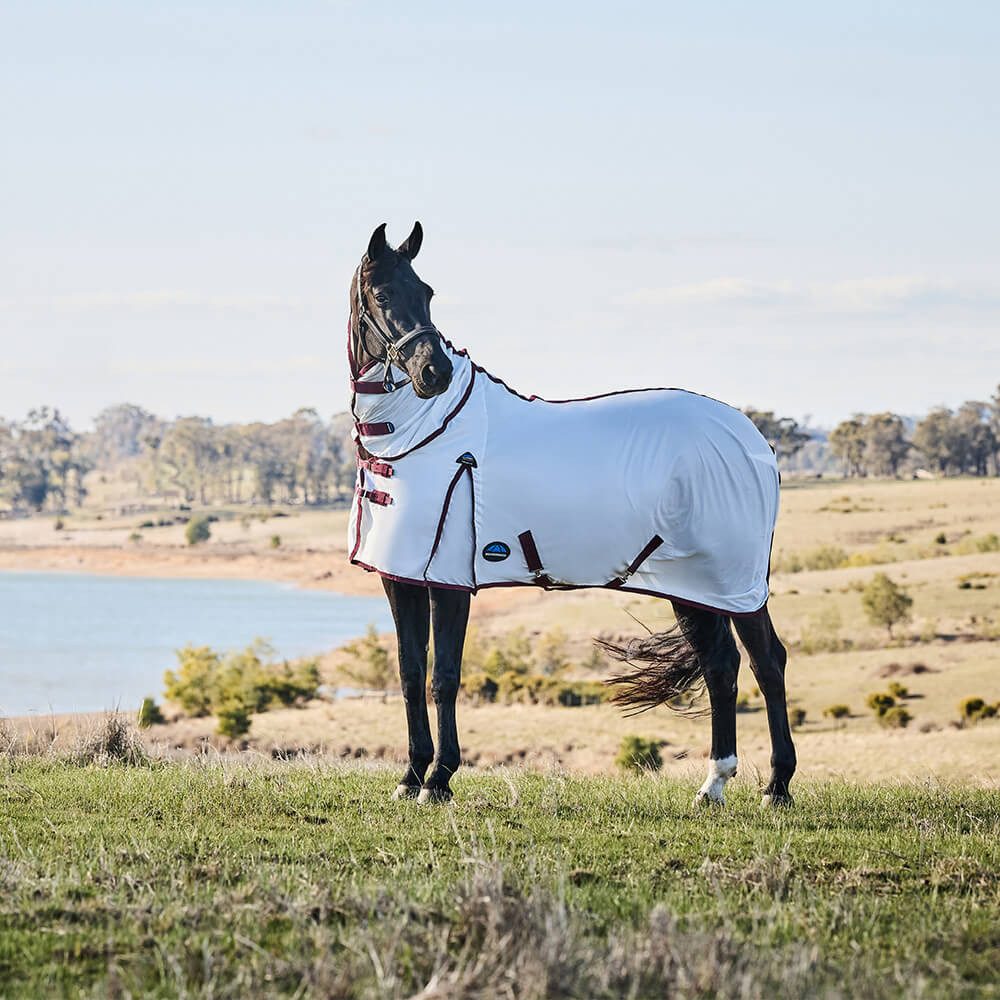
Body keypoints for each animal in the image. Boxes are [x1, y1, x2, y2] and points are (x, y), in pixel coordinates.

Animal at [347, 221, 796, 808]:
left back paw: (777, 787)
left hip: (737, 585)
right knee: (722, 666)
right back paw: (713, 785)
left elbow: (443, 676)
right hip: (694, 588)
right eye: (382, 295)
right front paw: (411, 776)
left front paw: (439, 780)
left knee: (768, 662)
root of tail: (757, 442)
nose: (434, 372)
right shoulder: (399, 577)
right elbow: (407, 672)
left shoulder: (448, 580)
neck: (422, 435)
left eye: (426, 292)